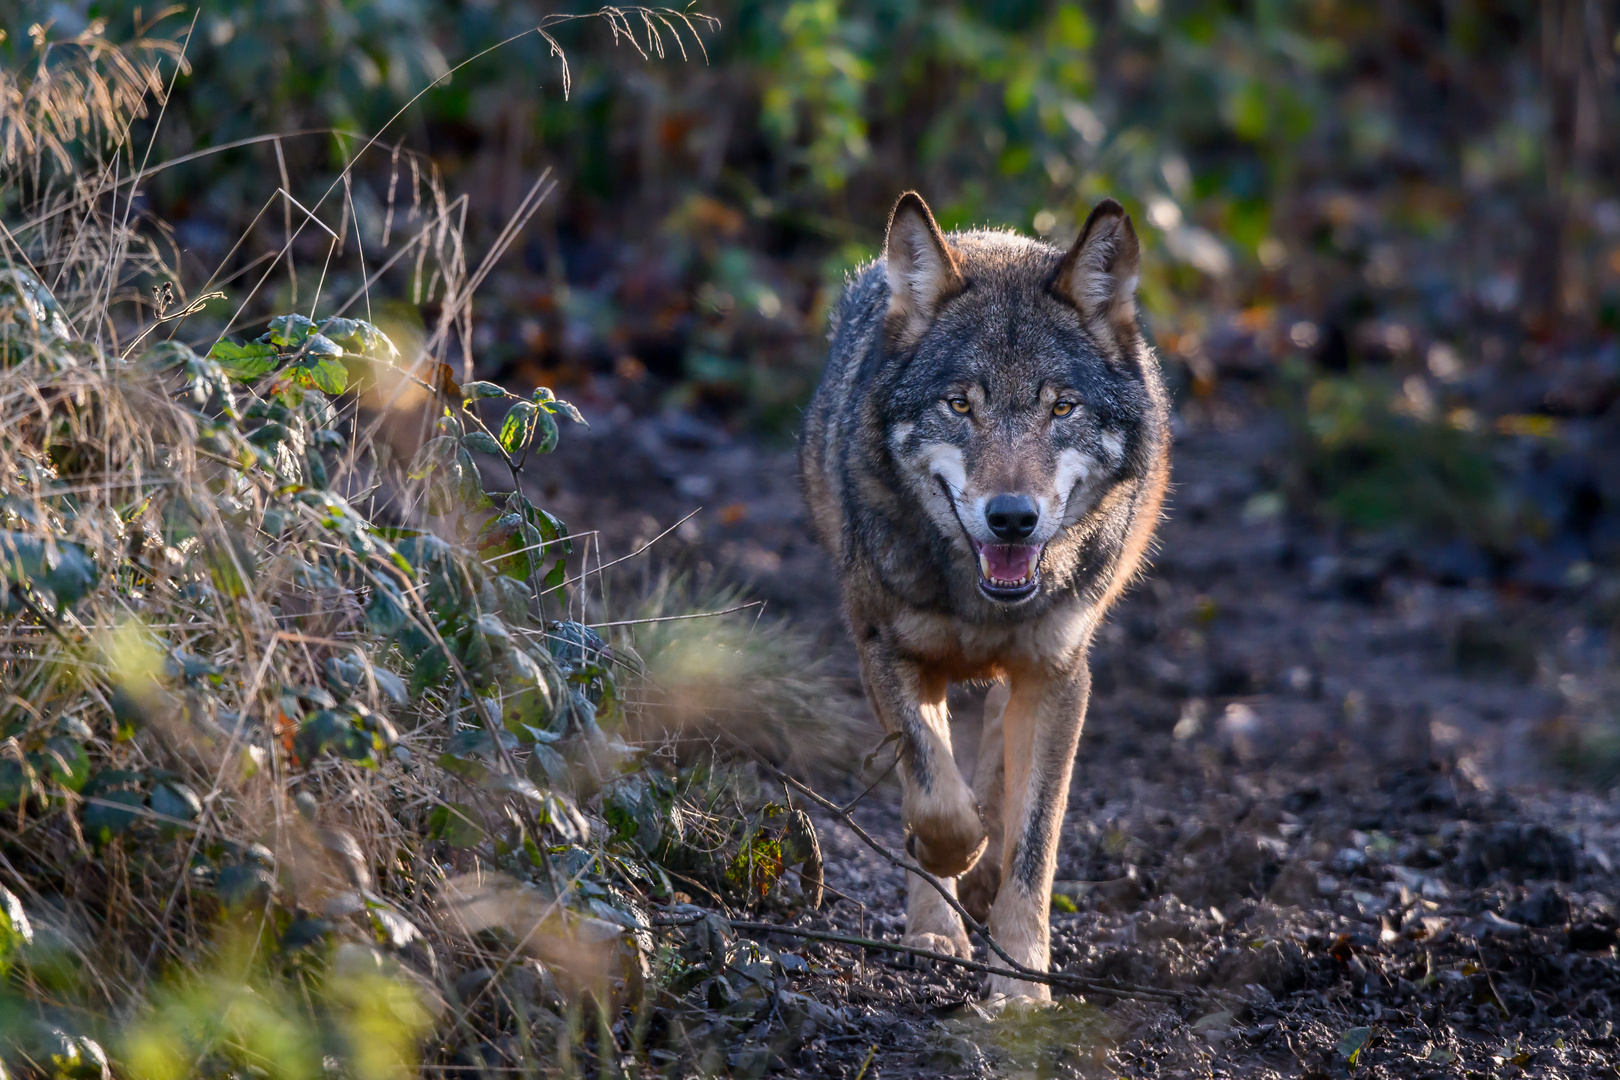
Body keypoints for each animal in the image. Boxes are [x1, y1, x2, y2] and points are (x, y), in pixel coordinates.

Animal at [797, 187, 1166, 1003]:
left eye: (1061, 409)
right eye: (960, 405)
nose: (1012, 517)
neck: (981, 600)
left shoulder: (1062, 676)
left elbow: (1035, 842)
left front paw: (1022, 987)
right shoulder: (887, 649)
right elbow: (934, 789)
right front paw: (944, 877)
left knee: (1001, 737)